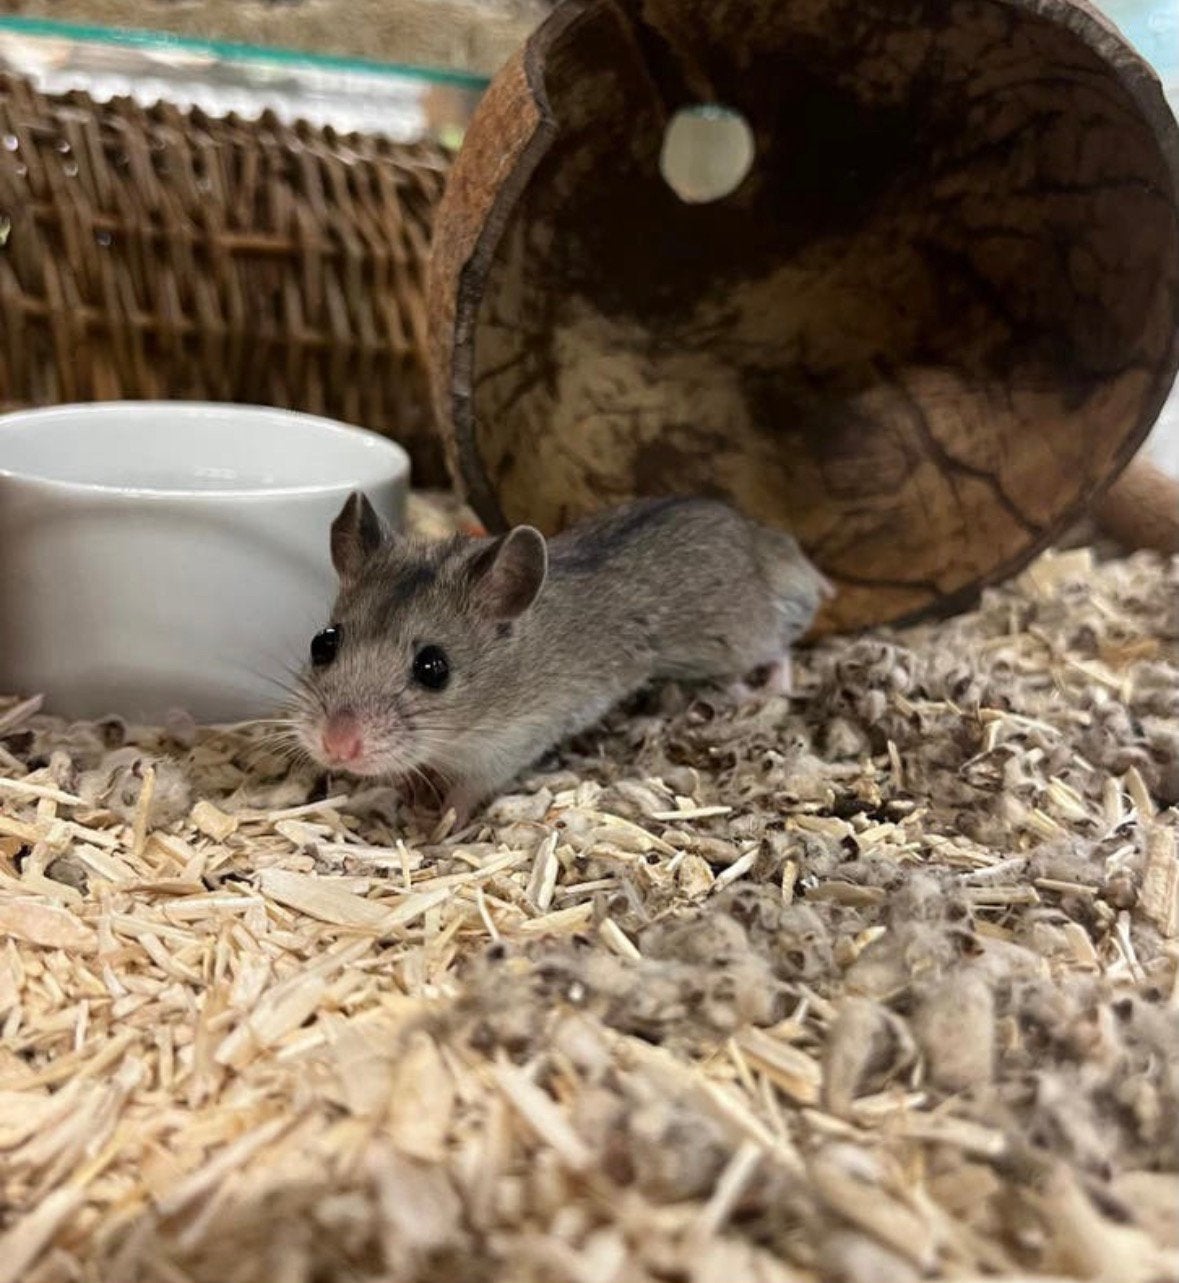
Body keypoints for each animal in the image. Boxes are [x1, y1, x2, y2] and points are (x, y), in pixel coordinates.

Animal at [291, 493, 832, 823]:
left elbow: (468, 793)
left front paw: (440, 824)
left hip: (738, 637)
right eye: (323, 643)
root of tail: (773, 545)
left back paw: (762, 690)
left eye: (433, 668)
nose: (334, 746)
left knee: (779, 651)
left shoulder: (512, 744)